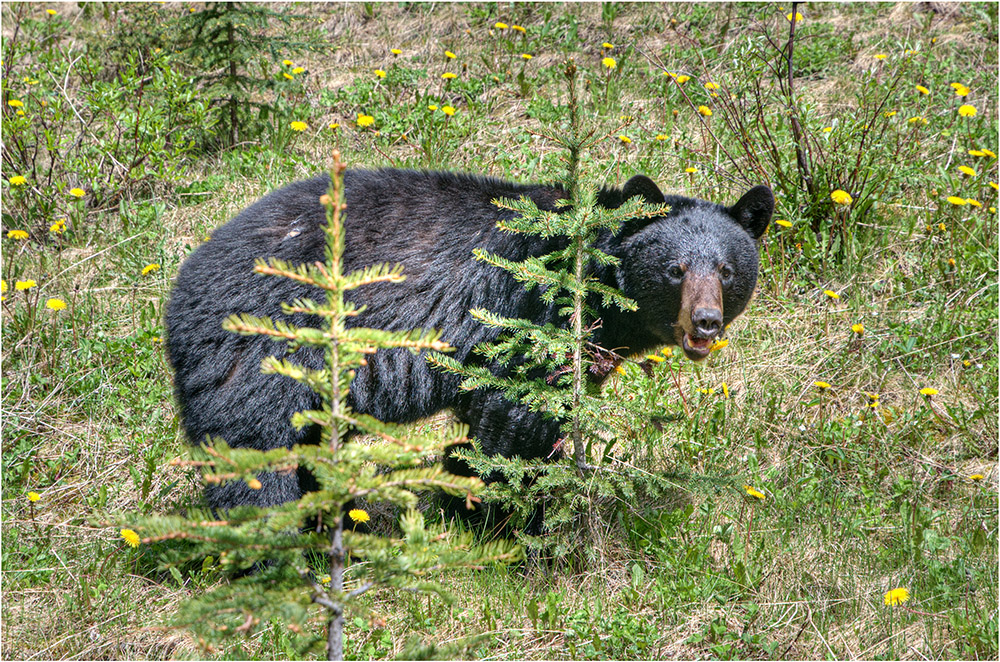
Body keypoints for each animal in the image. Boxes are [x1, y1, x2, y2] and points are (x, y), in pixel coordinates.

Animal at [166, 169, 772, 510]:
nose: (706, 322)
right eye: (675, 269)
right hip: (262, 354)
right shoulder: (522, 317)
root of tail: (179, 288)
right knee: (254, 459)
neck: (583, 276)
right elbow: (512, 419)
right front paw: (503, 512)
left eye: (726, 269)